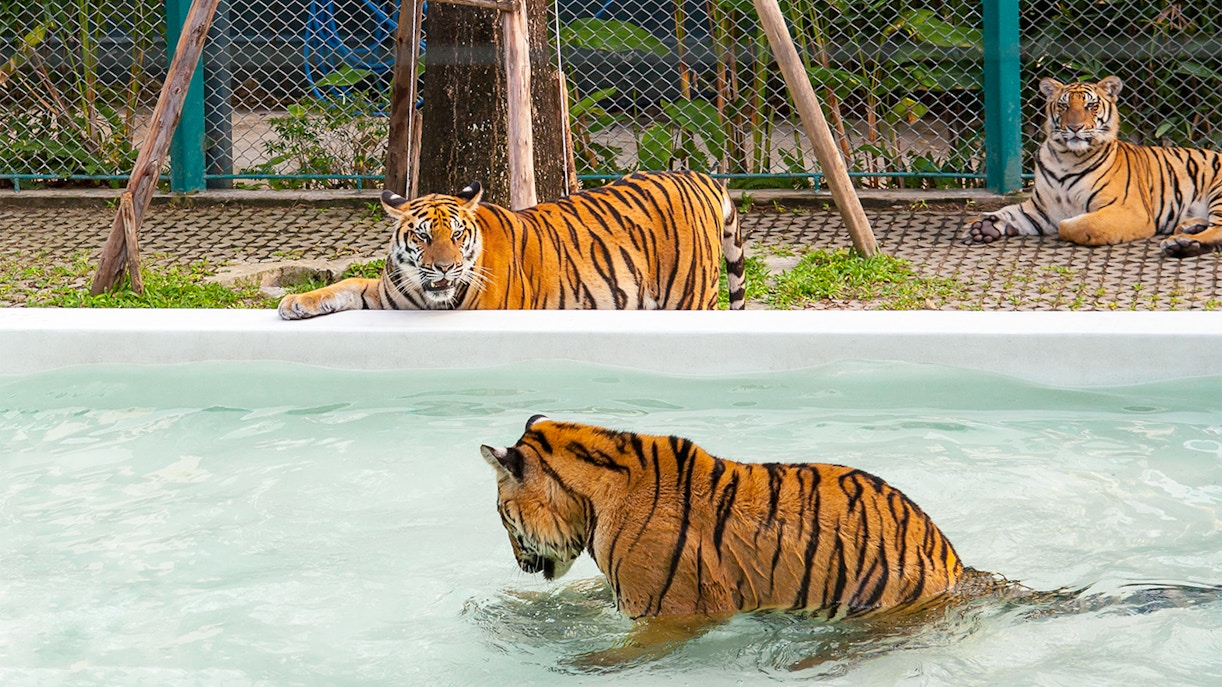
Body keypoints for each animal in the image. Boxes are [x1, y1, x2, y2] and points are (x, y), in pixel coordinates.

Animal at [277, 171, 746, 319]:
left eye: (457, 235)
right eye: (423, 236)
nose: (444, 268)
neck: (426, 296)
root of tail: (698, 175)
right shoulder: (388, 295)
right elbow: (346, 285)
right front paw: (295, 302)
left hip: (689, 297)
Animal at [962, 76, 1222, 258]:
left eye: (1090, 106)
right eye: (1064, 107)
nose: (1075, 127)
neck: (1066, 157)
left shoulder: (1130, 210)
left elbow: (1076, 225)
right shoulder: (1041, 209)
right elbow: (1013, 212)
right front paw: (983, 227)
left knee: (1218, 229)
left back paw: (1181, 244)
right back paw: (1187, 229)